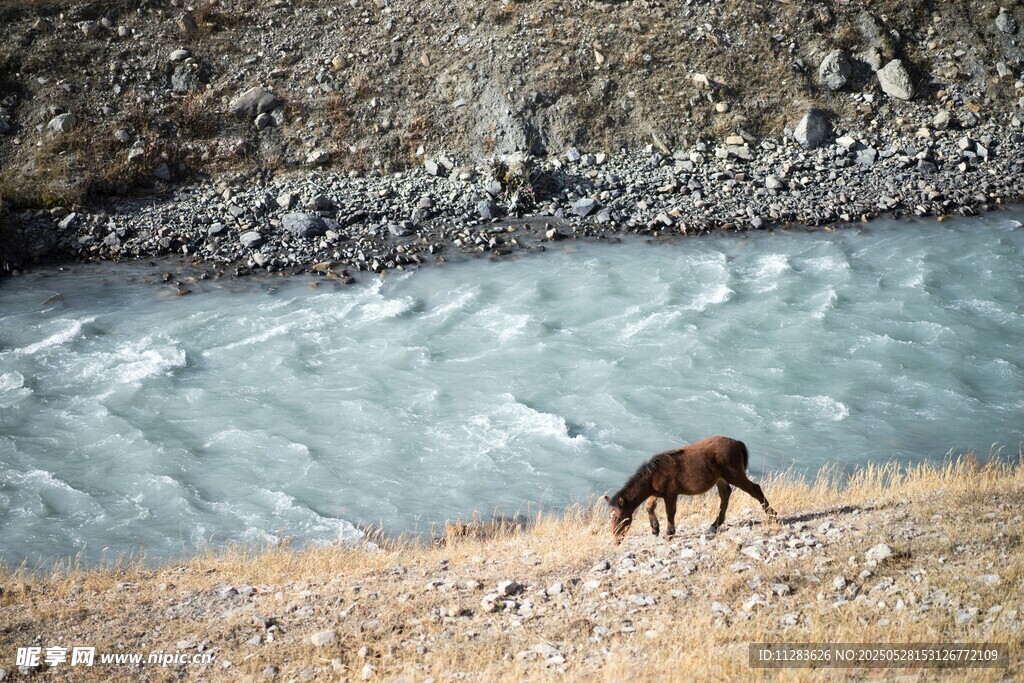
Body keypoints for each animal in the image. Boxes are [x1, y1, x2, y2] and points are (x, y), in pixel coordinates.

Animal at [604, 435, 776, 543]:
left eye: (620, 518)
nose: (616, 539)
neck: (654, 474)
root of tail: (737, 443)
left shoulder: (670, 494)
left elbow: (670, 513)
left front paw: (669, 533)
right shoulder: (658, 493)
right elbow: (649, 506)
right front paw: (655, 529)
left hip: (734, 475)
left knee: (755, 489)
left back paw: (772, 515)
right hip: (720, 479)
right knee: (725, 495)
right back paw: (715, 524)